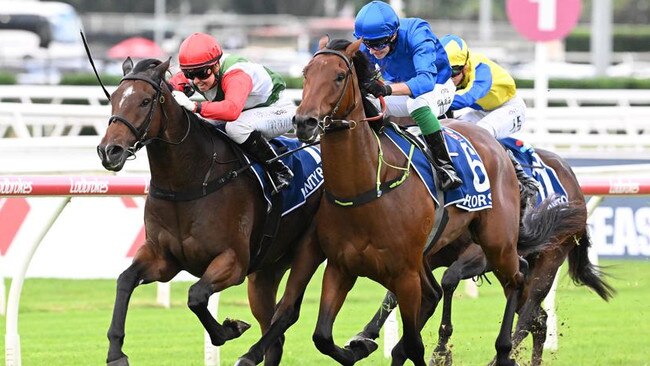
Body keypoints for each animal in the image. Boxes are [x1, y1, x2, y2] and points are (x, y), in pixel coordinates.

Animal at [95, 57, 324, 366]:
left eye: (145, 101)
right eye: (114, 99)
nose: (110, 151)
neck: (188, 181)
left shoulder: (233, 261)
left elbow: (196, 295)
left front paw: (230, 329)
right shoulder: (163, 258)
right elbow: (125, 279)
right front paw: (116, 352)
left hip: (306, 250)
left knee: (287, 312)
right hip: (267, 269)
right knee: (275, 333)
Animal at [292, 37, 576, 366]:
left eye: (339, 76)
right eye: (306, 73)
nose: (304, 121)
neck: (366, 185)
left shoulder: (407, 271)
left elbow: (418, 336)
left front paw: (436, 350)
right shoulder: (341, 266)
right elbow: (323, 337)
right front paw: (360, 344)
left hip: (501, 243)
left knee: (516, 281)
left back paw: (504, 351)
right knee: (526, 306)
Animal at [352, 147, 612, 364]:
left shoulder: (480, 253)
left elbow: (449, 279)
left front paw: (441, 351)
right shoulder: (425, 252)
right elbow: (396, 294)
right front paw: (363, 337)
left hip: (548, 259)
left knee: (528, 316)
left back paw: (497, 359)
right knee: (538, 319)